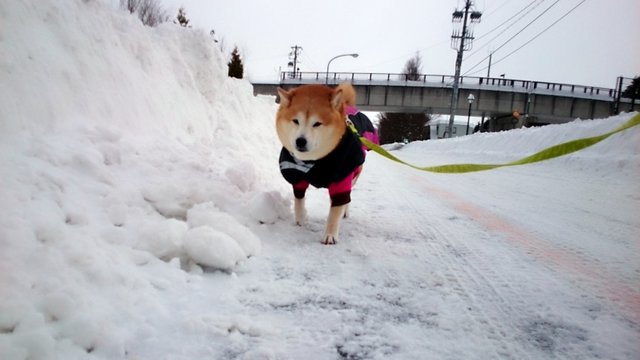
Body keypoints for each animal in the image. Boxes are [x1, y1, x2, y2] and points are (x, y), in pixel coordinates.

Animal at [276, 82, 378, 245]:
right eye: (296, 121)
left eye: (317, 124)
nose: (300, 141)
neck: (315, 160)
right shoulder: (298, 177)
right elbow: (299, 200)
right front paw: (300, 219)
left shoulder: (342, 176)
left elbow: (335, 211)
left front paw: (330, 234)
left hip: (354, 173)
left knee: (345, 199)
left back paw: (344, 211)